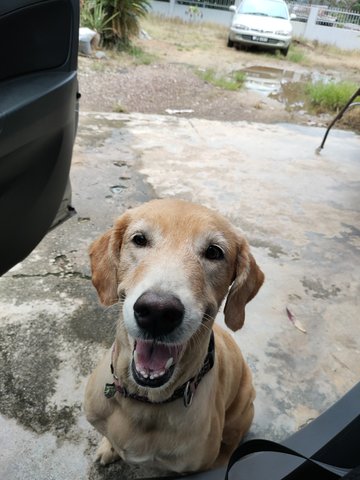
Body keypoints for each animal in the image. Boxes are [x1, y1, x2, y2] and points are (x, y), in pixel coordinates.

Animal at [84, 197, 264, 474]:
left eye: (214, 252)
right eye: (139, 239)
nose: (158, 312)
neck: (145, 401)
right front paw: (108, 447)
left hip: (243, 410)